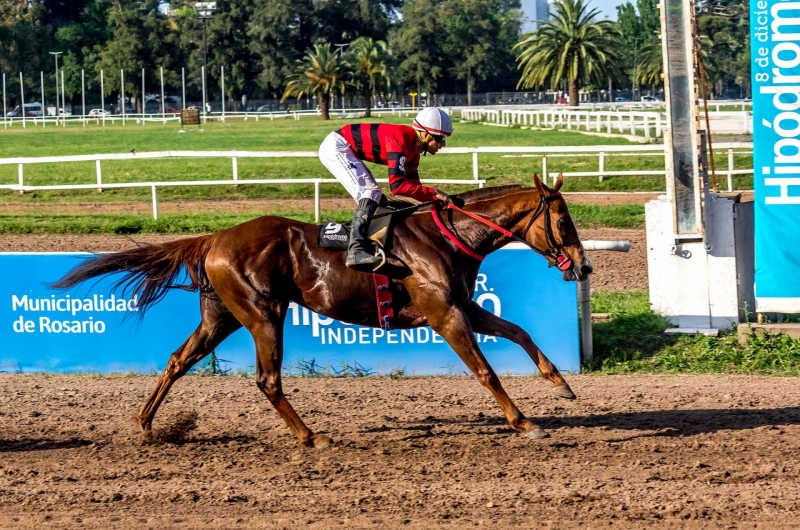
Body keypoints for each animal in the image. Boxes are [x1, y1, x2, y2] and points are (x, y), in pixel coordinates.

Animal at [56, 173, 592, 446]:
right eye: (564, 220)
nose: (584, 266)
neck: (447, 236)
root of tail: (215, 238)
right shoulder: (446, 315)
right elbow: (485, 371)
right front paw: (524, 422)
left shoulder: (462, 306)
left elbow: (519, 331)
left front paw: (562, 385)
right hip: (263, 314)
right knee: (267, 380)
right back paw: (310, 437)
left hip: (221, 317)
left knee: (177, 361)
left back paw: (147, 425)